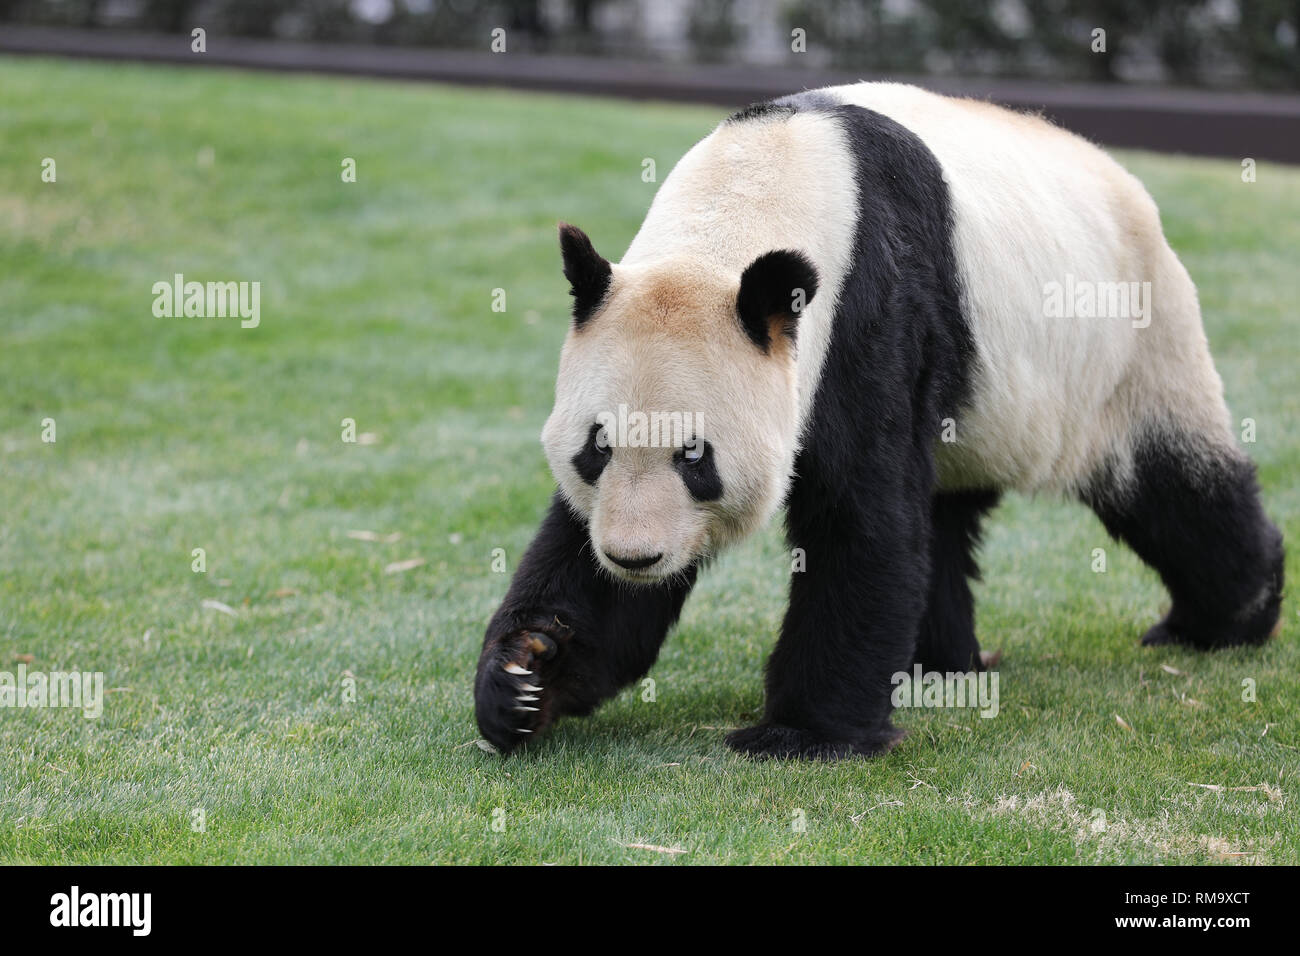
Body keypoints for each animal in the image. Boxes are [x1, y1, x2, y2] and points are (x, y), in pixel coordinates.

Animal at [474, 82, 1285, 759]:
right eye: (597, 449)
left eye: (695, 457)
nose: (635, 557)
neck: (743, 202)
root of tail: (1125, 181)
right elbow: (578, 553)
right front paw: (526, 675)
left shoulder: (871, 311)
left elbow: (860, 517)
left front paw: (802, 734)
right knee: (943, 517)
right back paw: (940, 667)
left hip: (1132, 345)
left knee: (1173, 484)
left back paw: (1226, 618)